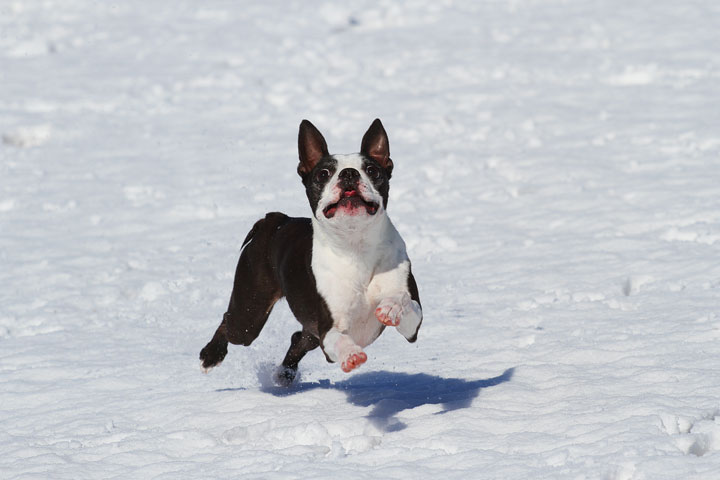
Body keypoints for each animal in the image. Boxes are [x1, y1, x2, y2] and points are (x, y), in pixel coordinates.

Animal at [198, 120, 422, 386]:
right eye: (323, 173)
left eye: (371, 170)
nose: (349, 173)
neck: (355, 247)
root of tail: (276, 220)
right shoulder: (329, 330)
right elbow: (339, 339)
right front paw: (351, 355)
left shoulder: (412, 328)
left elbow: (405, 302)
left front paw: (391, 306)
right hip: (250, 313)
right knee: (230, 323)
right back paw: (211, 355)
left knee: (298, 338)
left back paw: (285, 373)